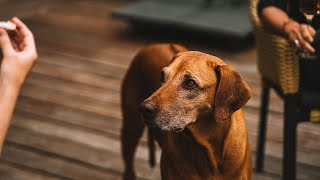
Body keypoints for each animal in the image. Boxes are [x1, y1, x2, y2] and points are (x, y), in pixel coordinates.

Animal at [120, 43, 252, 179]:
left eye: (190, 83)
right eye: (162, 76)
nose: (143, 108)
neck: (206, 146)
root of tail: (156, 44)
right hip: (131, 128)